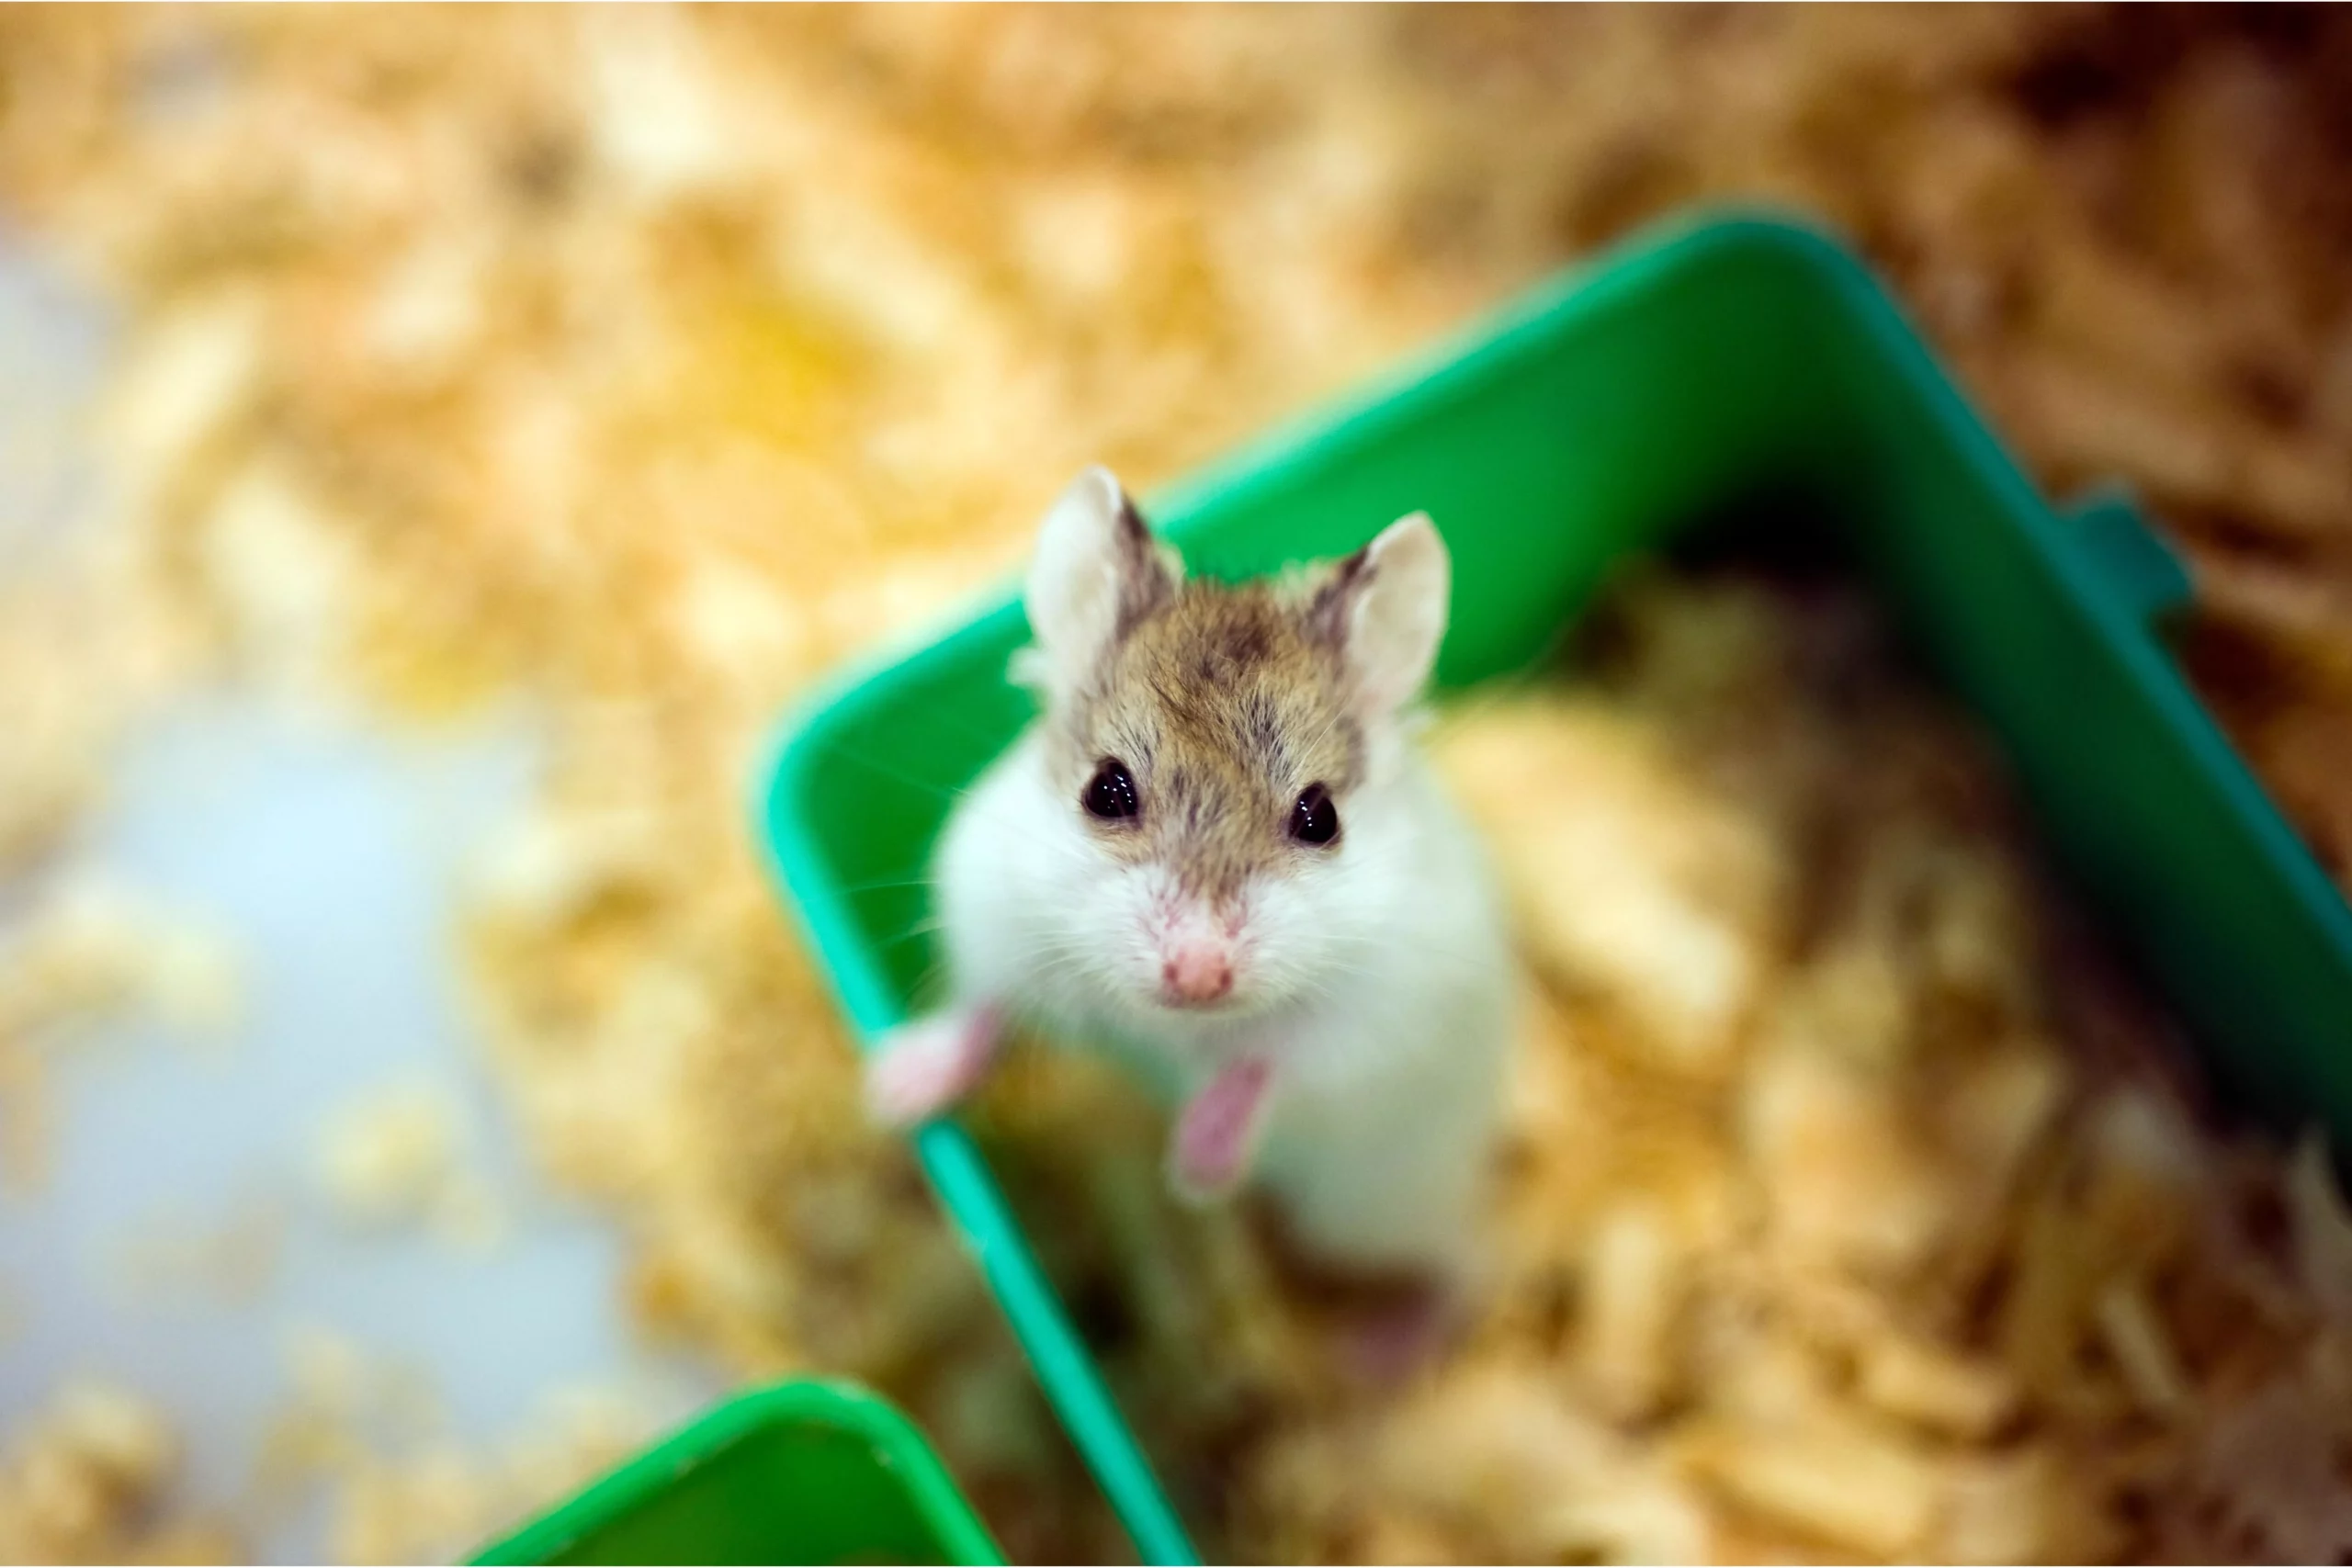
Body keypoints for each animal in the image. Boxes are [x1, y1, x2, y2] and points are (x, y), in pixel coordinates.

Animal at [866, 465, 1513, 1285]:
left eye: (1321, 816)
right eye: (1105, 790)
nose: (1199, 973)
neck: (1175, 1023)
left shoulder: (1374, 1022)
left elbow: (1265, 1067)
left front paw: (1194, 1172)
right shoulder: (992, 917)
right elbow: (982, 1008)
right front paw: (893, 1090)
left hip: (1387, 1211)